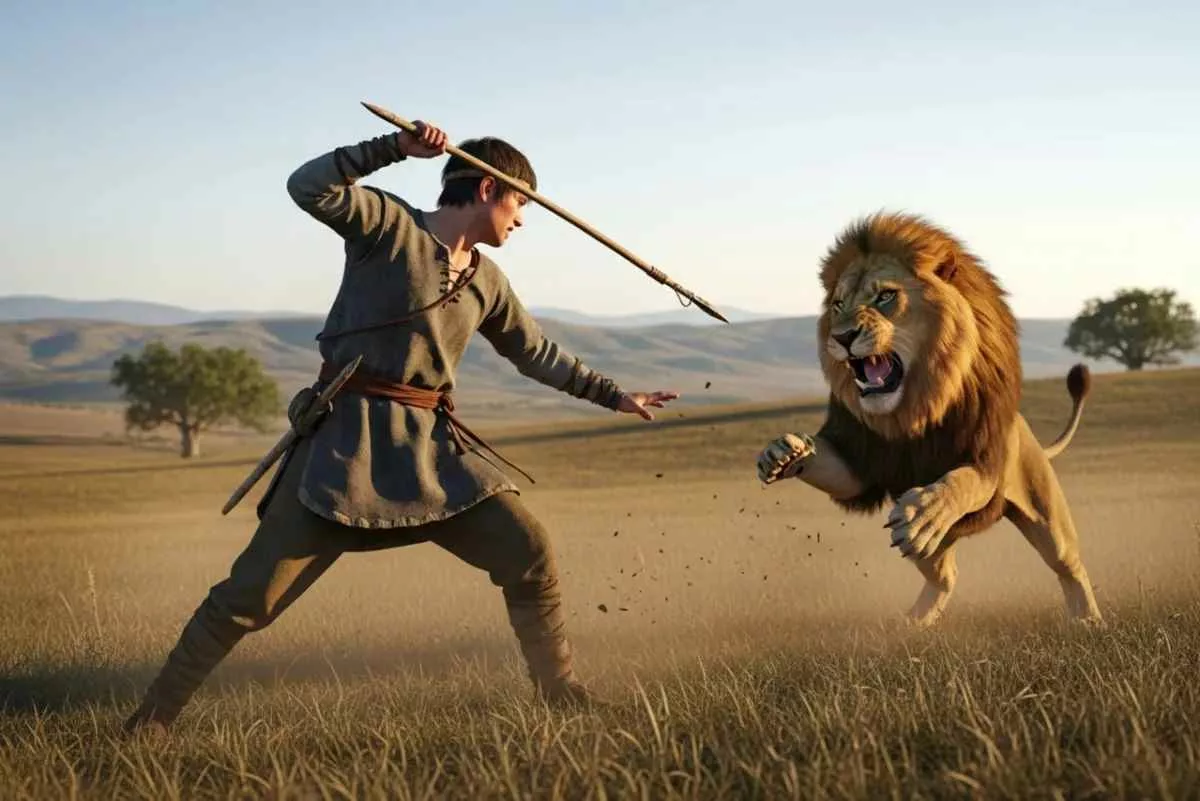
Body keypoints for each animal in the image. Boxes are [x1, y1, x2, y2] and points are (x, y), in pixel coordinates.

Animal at [756, 211, 1101, 627]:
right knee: (946, 575)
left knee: (1070, 564)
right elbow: (829, 463)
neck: (912, 411)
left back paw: (1090, 621)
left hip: (1045, 512)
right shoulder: (860, 460)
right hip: (930, 551)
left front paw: (924, 512)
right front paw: (784, 453)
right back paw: (914, 623)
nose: (842, 337)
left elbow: (962, 481)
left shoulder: (983, 459)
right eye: (838, 304)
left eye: (885, 296)